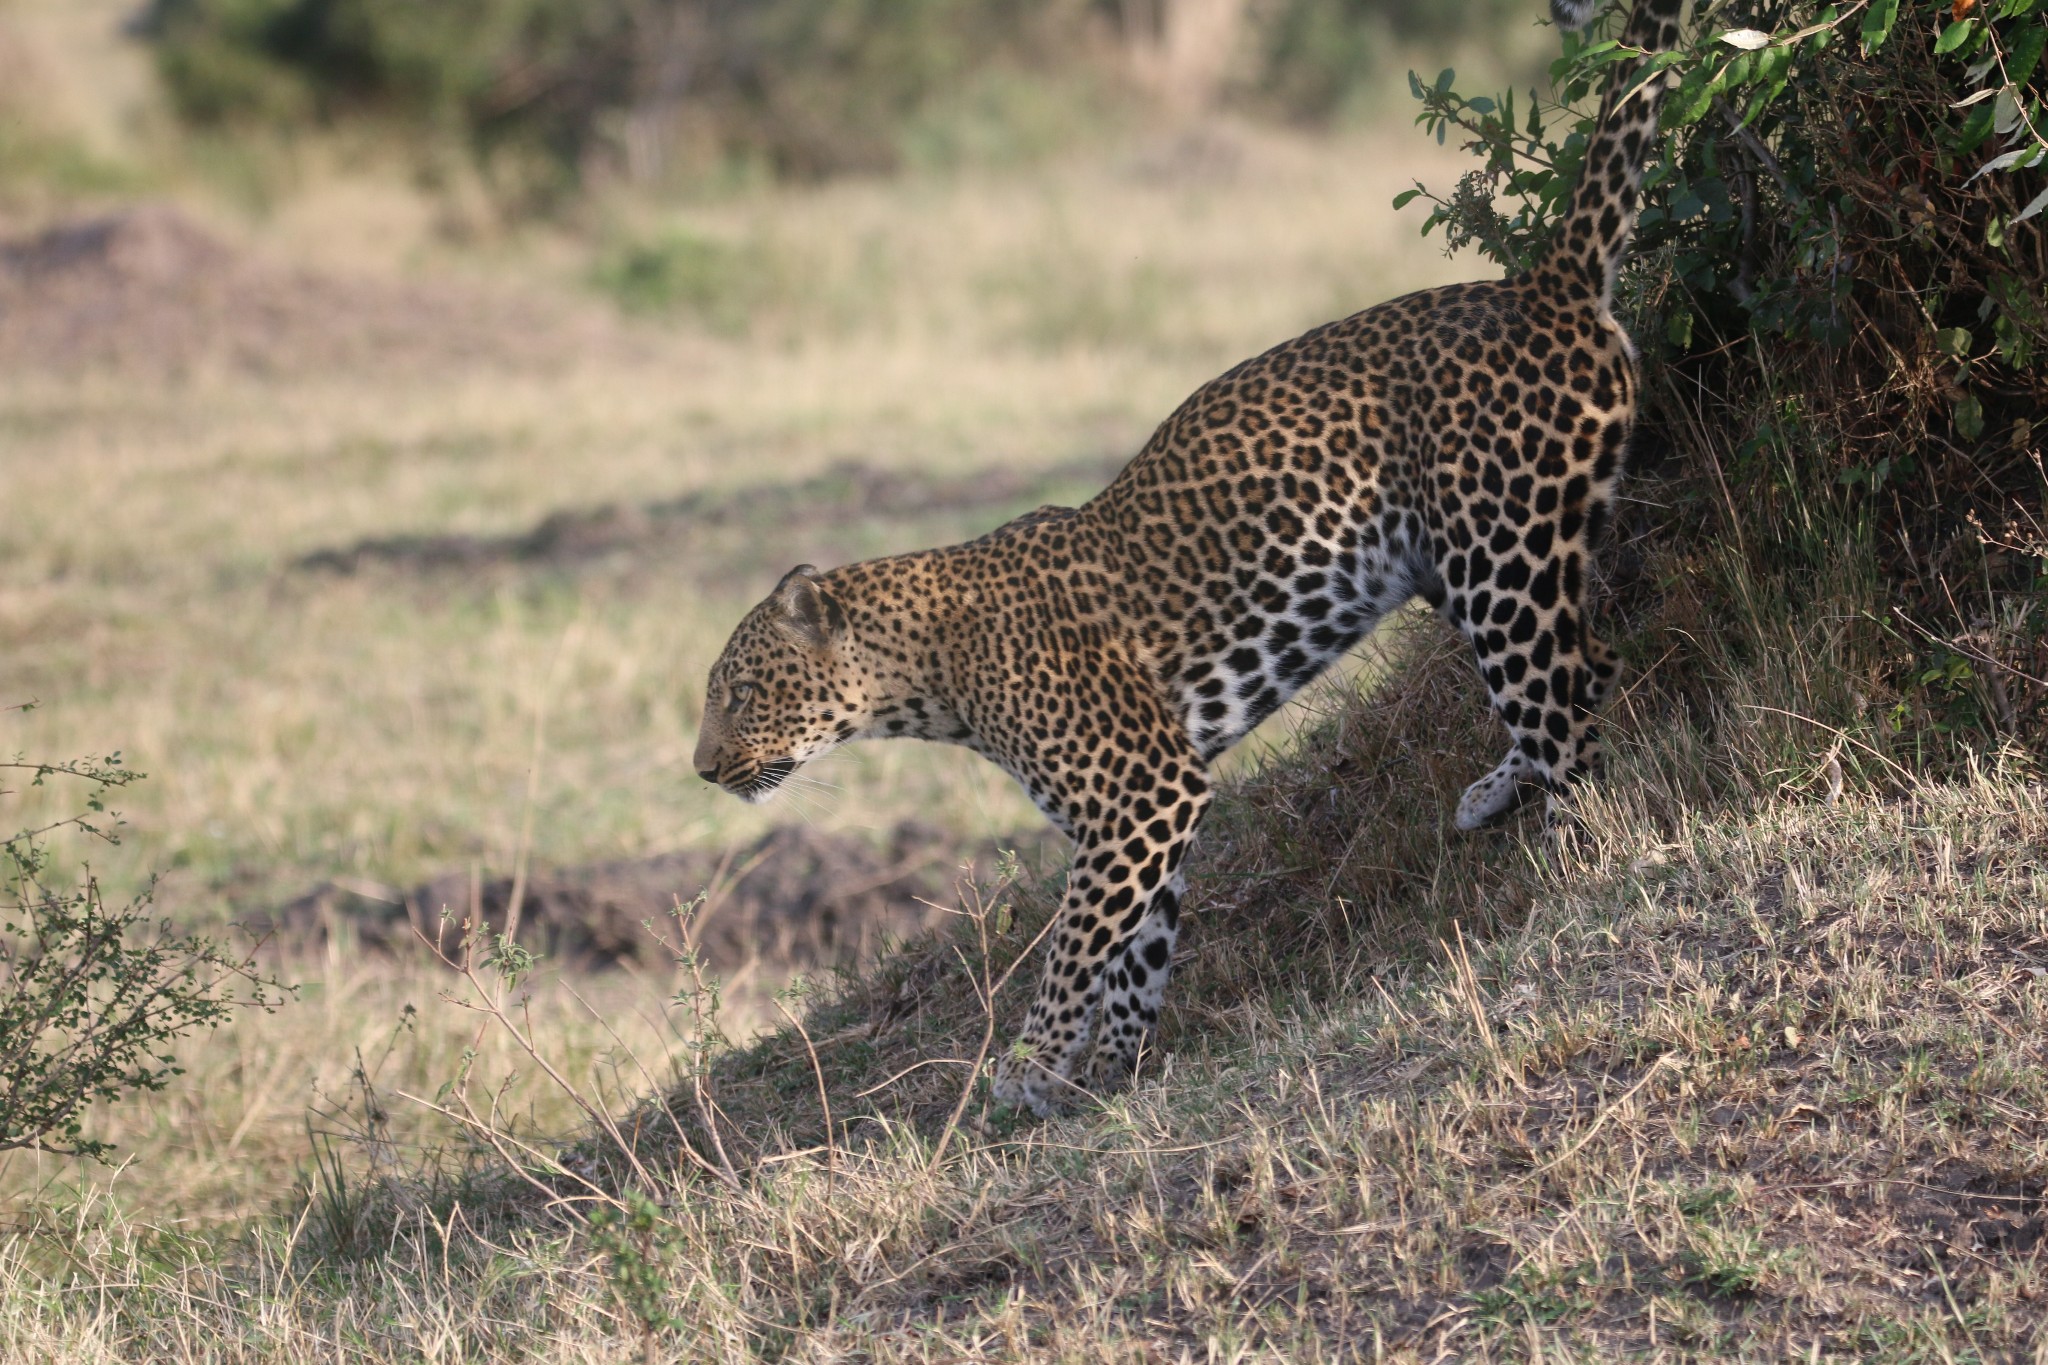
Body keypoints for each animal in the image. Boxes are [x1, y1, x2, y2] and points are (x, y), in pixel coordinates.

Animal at [696, 0, 1687, 1113]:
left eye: (739, 692)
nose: (701, 770)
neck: (928, 676)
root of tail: (1541, 286)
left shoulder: (1138, 791)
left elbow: (1074, 942)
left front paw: (1029, 1067)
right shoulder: (1145, 807)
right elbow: (1134, 949)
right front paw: (1110, 1074)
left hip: (1502, 549)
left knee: (1570, 692)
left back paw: (1579, 856)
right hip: (1457, 559)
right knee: (1570, 672)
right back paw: (1501, 792)